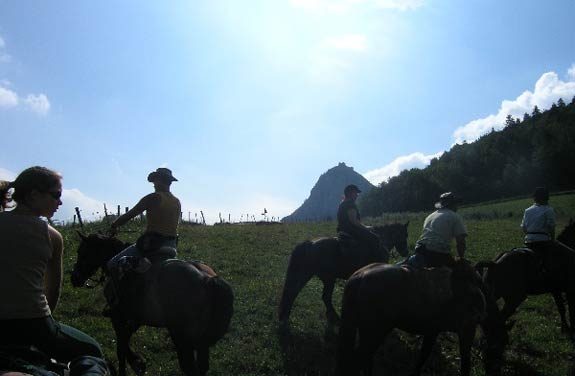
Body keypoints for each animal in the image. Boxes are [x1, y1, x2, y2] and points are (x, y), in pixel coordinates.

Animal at [71, 232, 233, 376]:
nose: (74, 278)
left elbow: (121, 347)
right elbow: (124, 341)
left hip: (182, 341)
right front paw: (138, 363)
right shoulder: (134, 320)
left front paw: (135, 364)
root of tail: (208, 280)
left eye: (81, 252)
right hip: (200, 344)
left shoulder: (118, 317)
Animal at [278, 223, 410, 326]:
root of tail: (309, 243)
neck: (382, 241)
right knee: (307, 294)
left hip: (317, 276)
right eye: (405, 235)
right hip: (322, 277)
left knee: (303, 293)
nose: (406, 252)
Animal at [338, 260, 508, 376]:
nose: (495, 371)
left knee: (365, 360)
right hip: (375, 332)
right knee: (357, 361)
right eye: (498, 347)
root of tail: (359, 277)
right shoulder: (466, 330)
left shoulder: (432, 330)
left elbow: (423, 356)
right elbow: (465, 363)